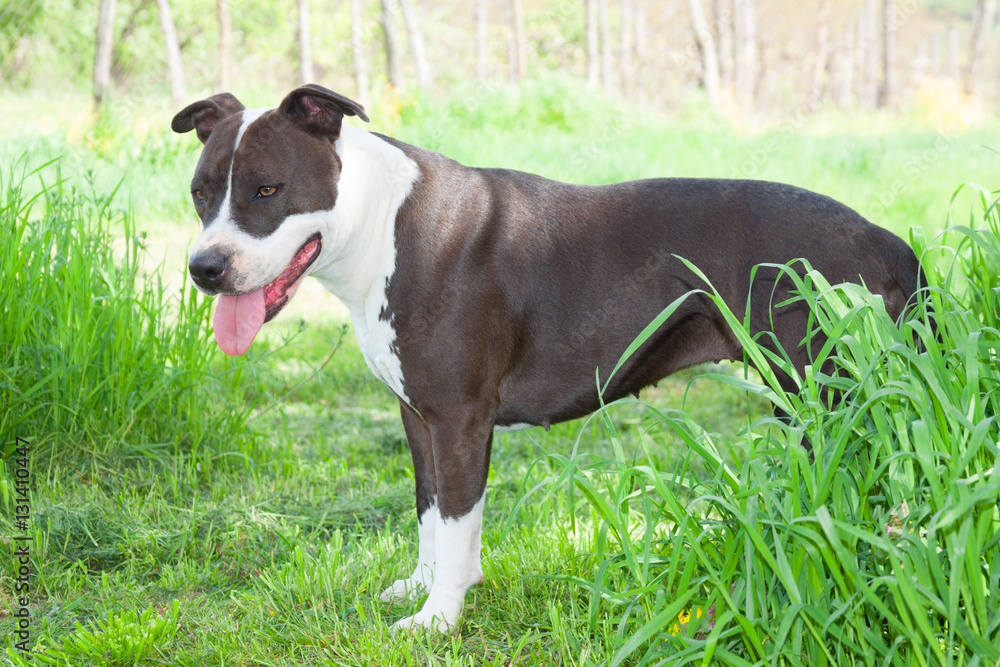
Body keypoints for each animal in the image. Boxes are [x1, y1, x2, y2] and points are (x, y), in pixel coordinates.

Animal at [170, 86, 920, 636]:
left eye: (268, 190)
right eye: (201, 193)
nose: (205, 267)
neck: (379, 224)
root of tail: (881, 236)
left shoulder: (460, 419)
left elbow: (457, 519)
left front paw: (438, 618)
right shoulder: (419, 416)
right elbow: (430, 511)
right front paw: (421, 587)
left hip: (829, 397)